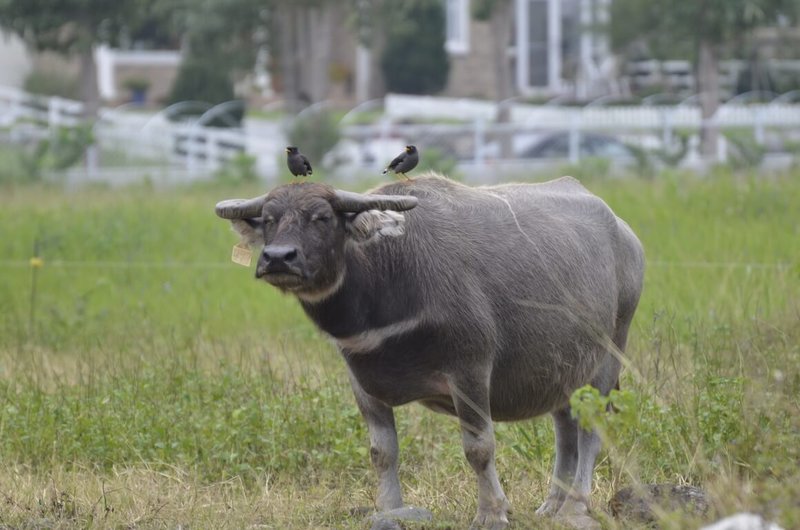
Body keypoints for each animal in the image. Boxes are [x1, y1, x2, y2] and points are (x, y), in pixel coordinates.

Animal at [216, 172, 648, 524]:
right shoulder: (362, 380)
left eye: (322, 217)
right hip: (563, 370)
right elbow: (382, 451)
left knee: (591, 431)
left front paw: (491, 512)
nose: (278, 258)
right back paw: (552, 505)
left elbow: (479, 448)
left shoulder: (470, 370)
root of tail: (627, 237)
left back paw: (576, 507)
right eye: (269, 219)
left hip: (609, 356)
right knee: (565, 430)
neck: (389, 275)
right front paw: (390, 509)